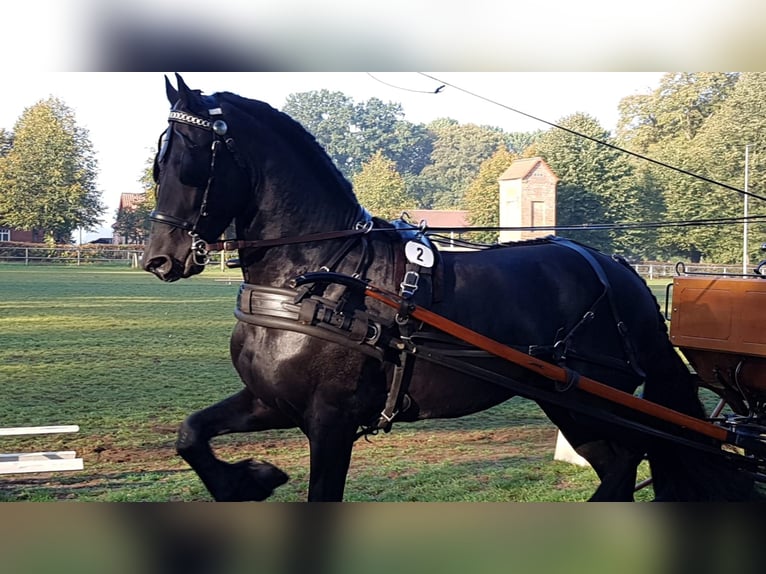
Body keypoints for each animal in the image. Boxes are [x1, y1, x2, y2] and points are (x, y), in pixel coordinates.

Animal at [144, 74, 760, 502]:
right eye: (158, 162)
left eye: (192, 162)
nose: (159, 258)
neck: (318, 274)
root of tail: (616, 267)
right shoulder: (272, 401)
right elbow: (190, 434)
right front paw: (249, 478)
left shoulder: (330, 421)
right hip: (567, 402)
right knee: (624, 462)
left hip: (593, 397)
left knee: (636, 455)